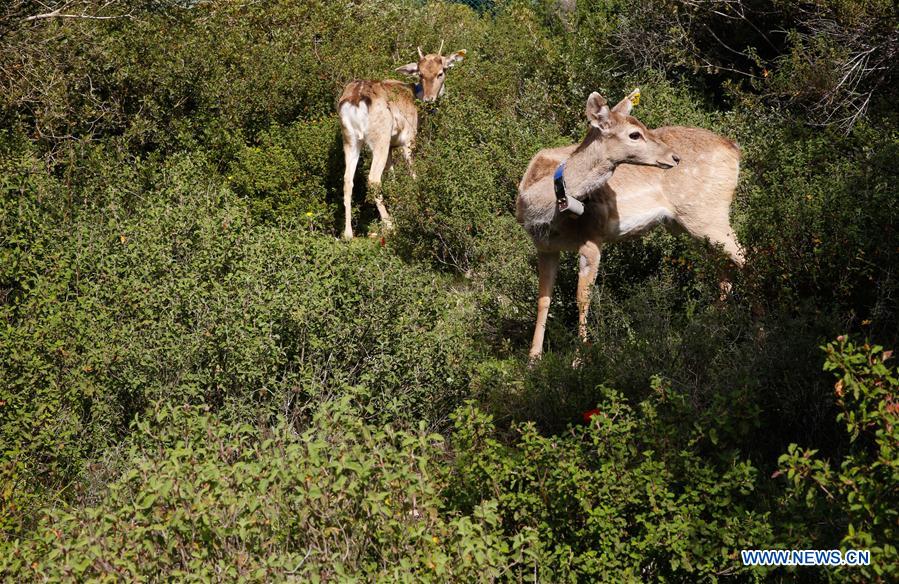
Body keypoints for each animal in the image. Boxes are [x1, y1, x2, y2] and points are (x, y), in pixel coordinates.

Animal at [337, 42, 466, 240]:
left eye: (440, 72)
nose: (429, 99)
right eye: (420, 74)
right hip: (379, 137)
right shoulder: (408, 138)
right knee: (373, 179)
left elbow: (392, 177)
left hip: (350, 139)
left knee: (347, 179)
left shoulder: (392, 145)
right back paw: (390, 225)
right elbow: (412, 173)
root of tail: (355, 99)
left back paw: (348, 233)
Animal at [517, 89, 744, 361]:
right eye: (635, 134)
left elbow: (582, 298)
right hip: (691, 224)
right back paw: (714, 326)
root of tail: (734, 149)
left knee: (745, 256)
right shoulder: (545, 247)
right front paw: (533, 360)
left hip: (708, 212)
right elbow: (543, 299)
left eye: (644, 127)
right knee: (724, 267)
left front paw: (579, 359)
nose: (674, 157)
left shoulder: (592, 237)